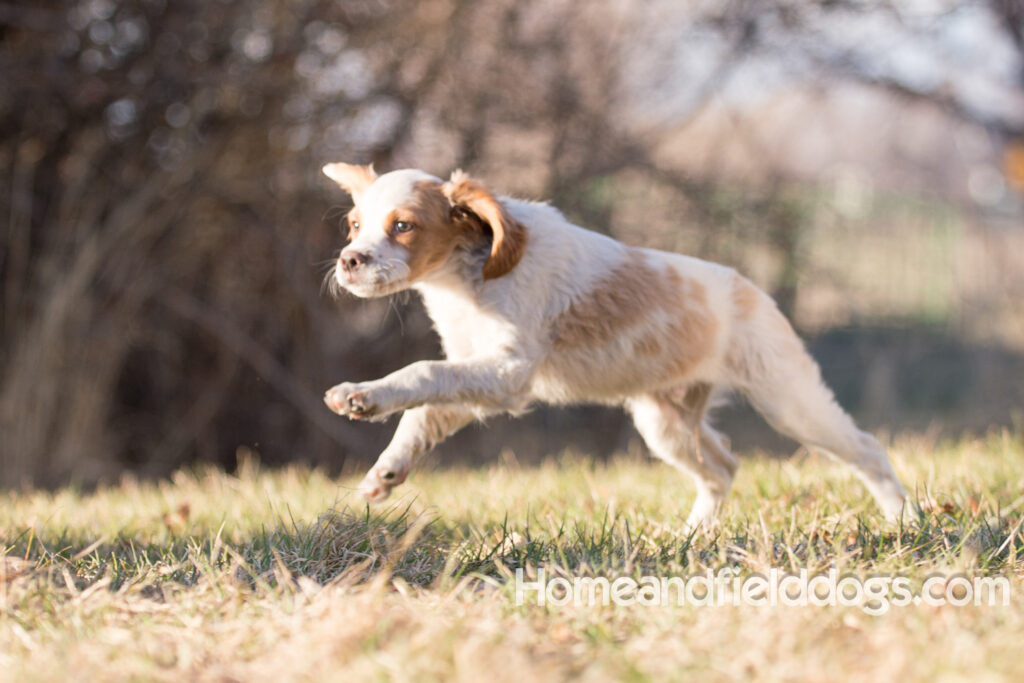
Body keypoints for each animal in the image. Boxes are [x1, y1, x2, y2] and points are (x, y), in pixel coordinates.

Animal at [319, 162, 905, 528]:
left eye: (403, 226)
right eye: (353, 224)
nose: (348, 261)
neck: (464, 279)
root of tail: (753, 289)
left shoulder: (507, 372)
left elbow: (420, 372)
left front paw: (361, 395)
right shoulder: (477, 374)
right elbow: (423, 412)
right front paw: (386, 471)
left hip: (790, 401)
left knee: (867, 449)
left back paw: (903, 520)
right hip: (664, 421)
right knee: (723, 468)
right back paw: (694, 537)